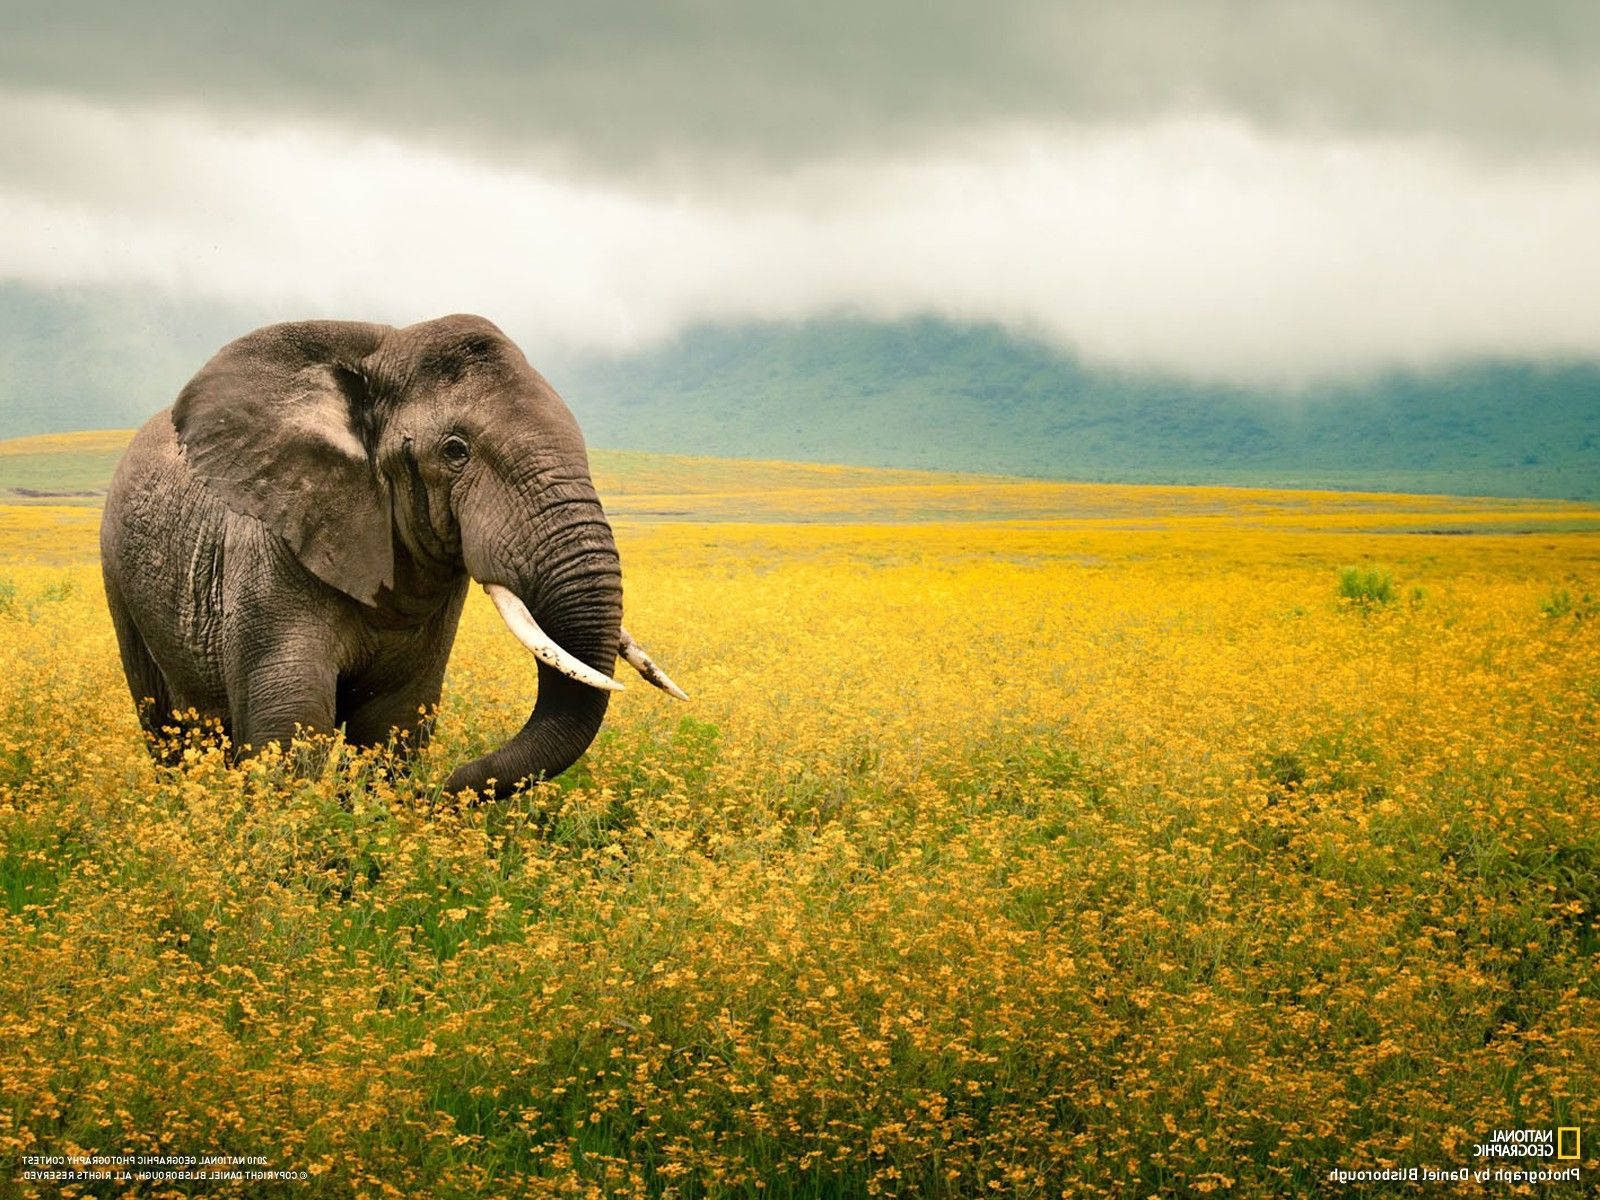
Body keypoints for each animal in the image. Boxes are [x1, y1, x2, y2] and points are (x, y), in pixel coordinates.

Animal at [99, 314, 685, 798]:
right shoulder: (268, 547)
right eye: (455, 451)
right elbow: (290, 724)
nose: (447, 785)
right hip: (119, 578)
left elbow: (392, 721)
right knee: (166, 728)